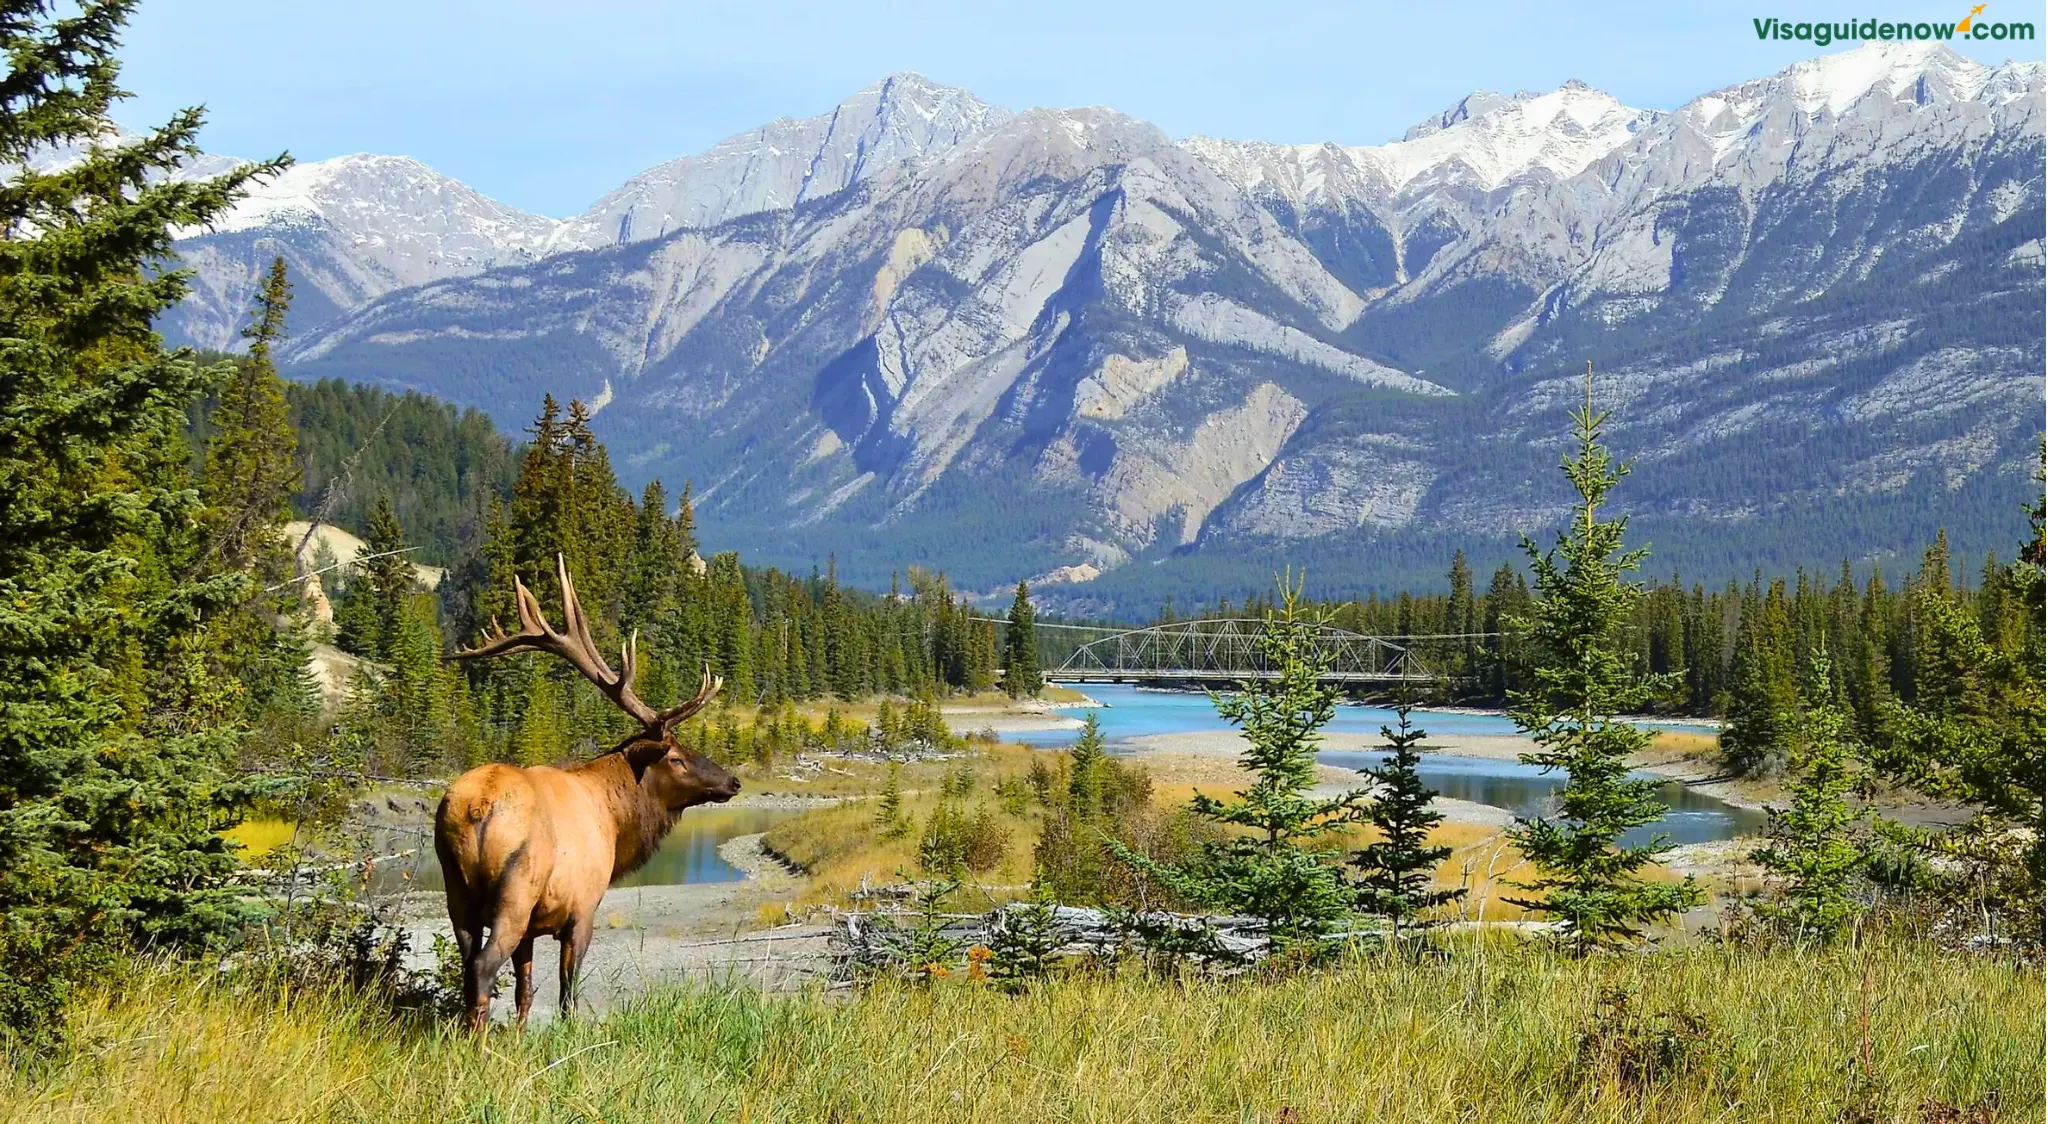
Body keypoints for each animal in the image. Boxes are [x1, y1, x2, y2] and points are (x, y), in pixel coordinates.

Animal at [432, 552, 737, 1023]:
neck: (615, 819)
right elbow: (566, 996)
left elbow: (525, 993)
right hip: (515, 889)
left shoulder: (533, 927)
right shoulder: (582, 910)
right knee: (482, 967)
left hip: (455, 889)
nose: (732, 781)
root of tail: (476, 808)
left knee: (468, 965)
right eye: (676, 757)